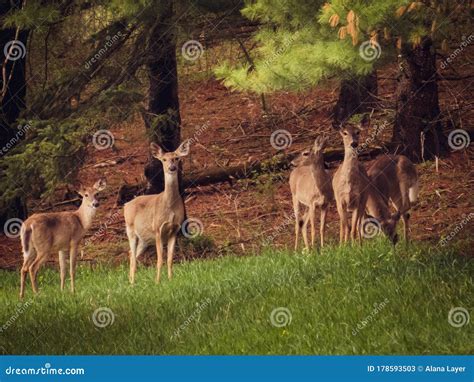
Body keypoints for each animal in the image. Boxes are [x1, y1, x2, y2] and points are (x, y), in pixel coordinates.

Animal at [124, 140, 191, 284]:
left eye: (176, 158)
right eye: (164, 159)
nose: (172, 168)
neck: (169, 207)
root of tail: (125, 205)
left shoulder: (175, 230)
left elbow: (170, 259)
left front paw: (170, 280)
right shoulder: (157, 229)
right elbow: (160, 259)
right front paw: (157, 282)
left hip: (144, 238)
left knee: (132, 253)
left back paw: (132, 281)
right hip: (130, 229)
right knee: (132, 253)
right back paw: (132, 283)